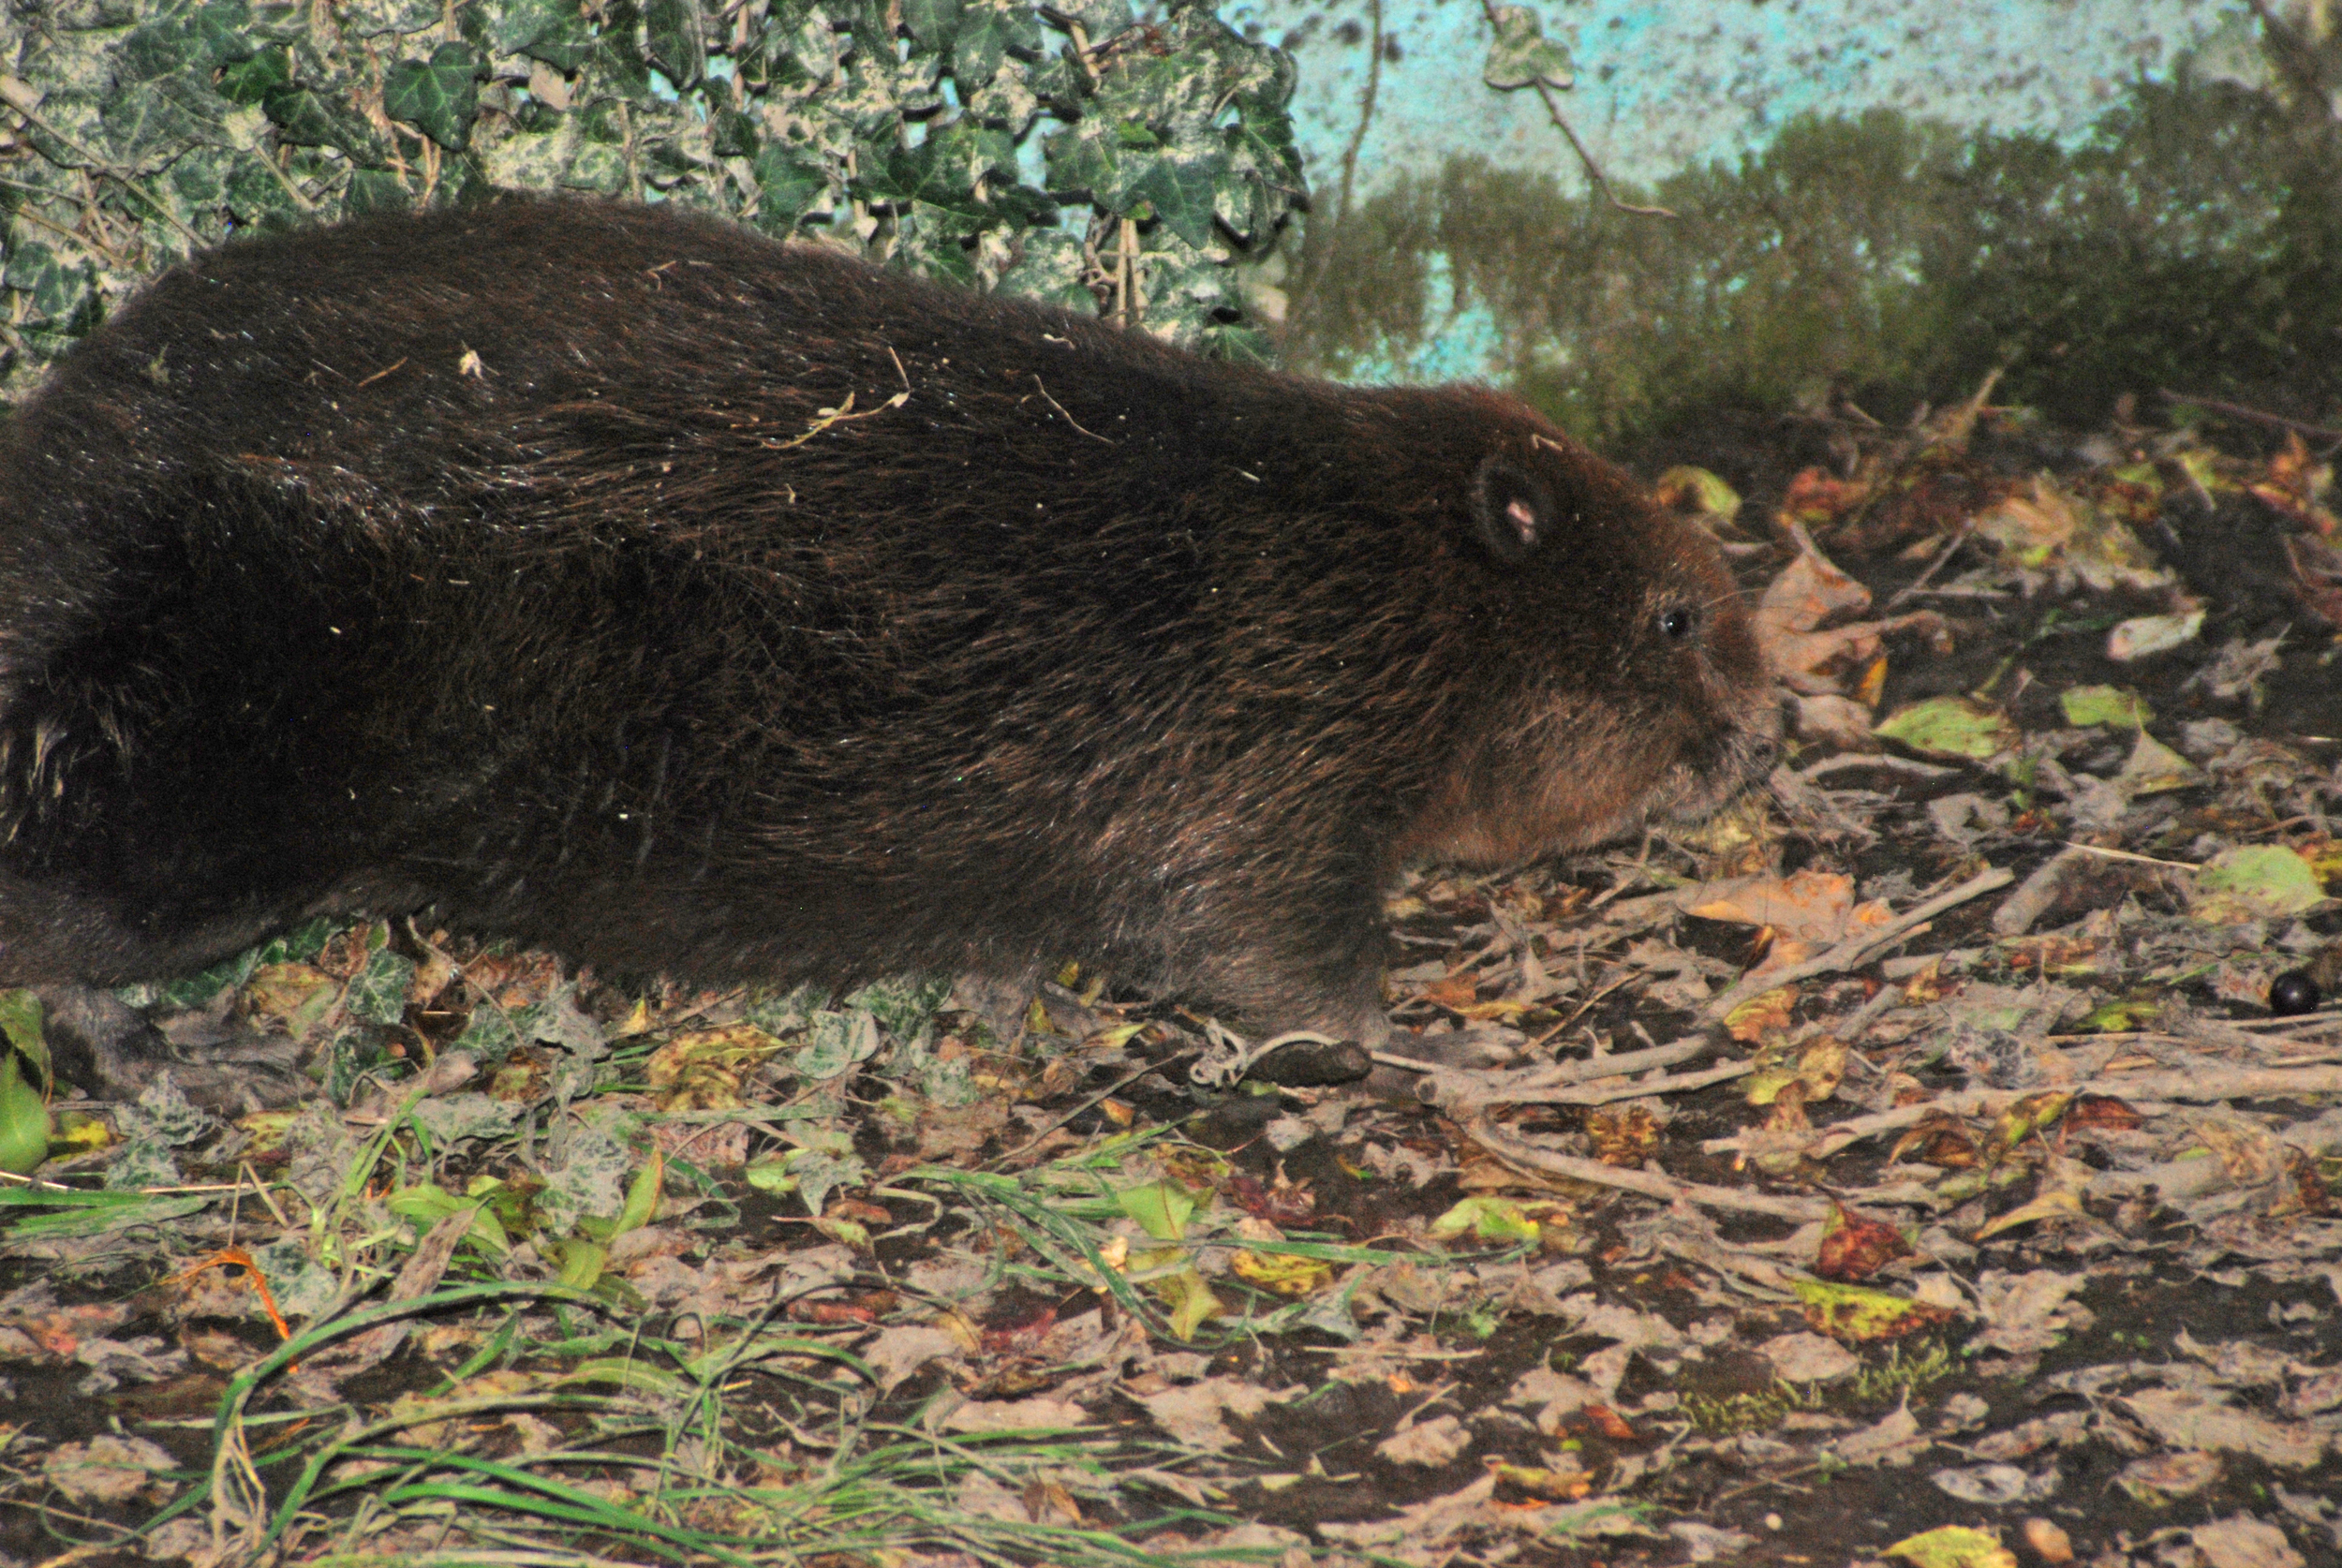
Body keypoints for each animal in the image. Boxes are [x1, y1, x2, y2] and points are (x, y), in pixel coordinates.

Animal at [0, 200, 1780, 1058]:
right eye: (1676, 613)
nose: (1762, 736)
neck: (1370, 564)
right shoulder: (1284, 736)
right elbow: (1256, 942)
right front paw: (1436, 1050)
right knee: (66, 925)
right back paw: (175, 1054)